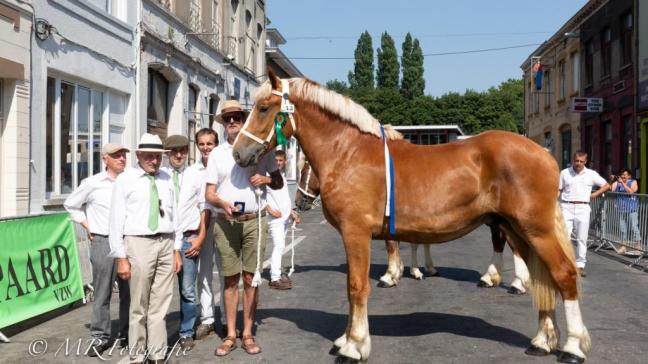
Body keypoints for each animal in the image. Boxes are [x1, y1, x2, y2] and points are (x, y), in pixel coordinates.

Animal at [296, 156, 528, 292]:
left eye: (304, 173)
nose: (299, 203)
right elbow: (410, 243)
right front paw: (409, 270)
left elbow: (394, 245)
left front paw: (391, 275)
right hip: (495, 221)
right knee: (500, 243)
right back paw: (491, 278)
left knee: (514, 245)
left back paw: (516, 282)